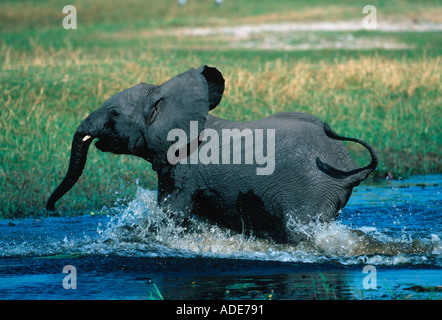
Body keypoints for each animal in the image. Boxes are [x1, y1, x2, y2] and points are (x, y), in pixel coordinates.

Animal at [46, 66, 378, 244]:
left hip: (311, 192)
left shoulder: (183, 169)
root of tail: (350, 168)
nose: (51, 209)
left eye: (114, 114)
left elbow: (170, 214)